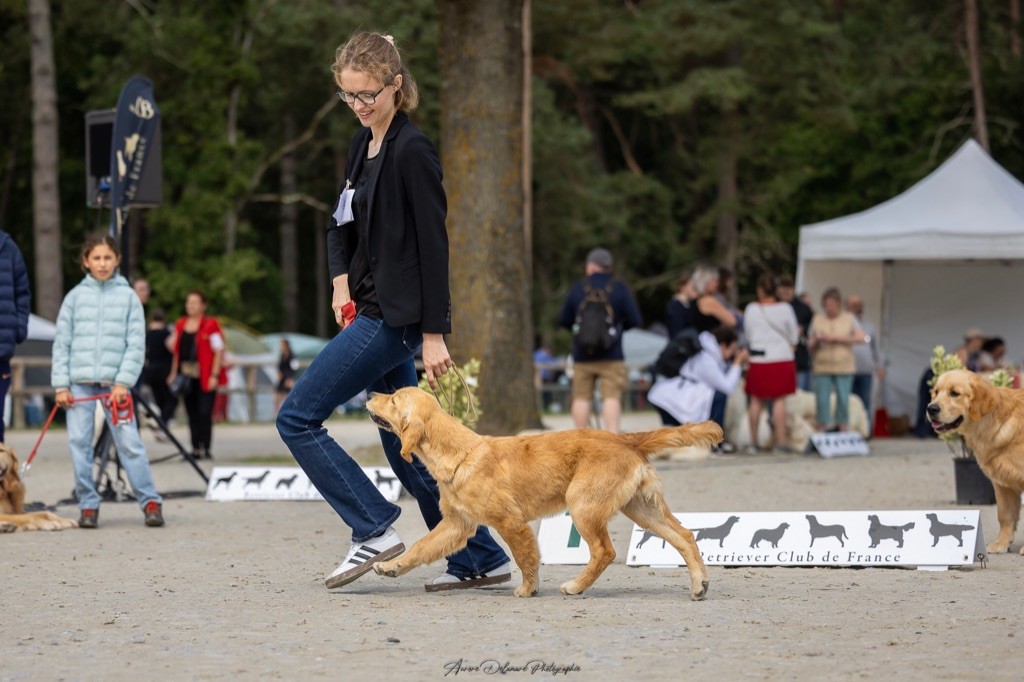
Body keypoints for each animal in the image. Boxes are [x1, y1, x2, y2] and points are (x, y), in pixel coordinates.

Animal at [365, 387, 722, 599]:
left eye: (393, 399)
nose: (370, 392)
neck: (460, 454)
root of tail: (625, 439)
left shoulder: (510, 522)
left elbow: (526, 557)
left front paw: (528, 589)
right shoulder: (457, 524)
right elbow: (421, 547)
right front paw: (391, 566)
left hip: (582, 504)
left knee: (604, 552)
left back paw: (576, 586)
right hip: (643, 510)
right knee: (685, 536)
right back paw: (699, 585)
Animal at [929, 369, 1024, 553]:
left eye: (954, 393)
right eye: (936, 392)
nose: (931, 408)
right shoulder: (1002, 484)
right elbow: (1005, 515)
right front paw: (1001, 543)